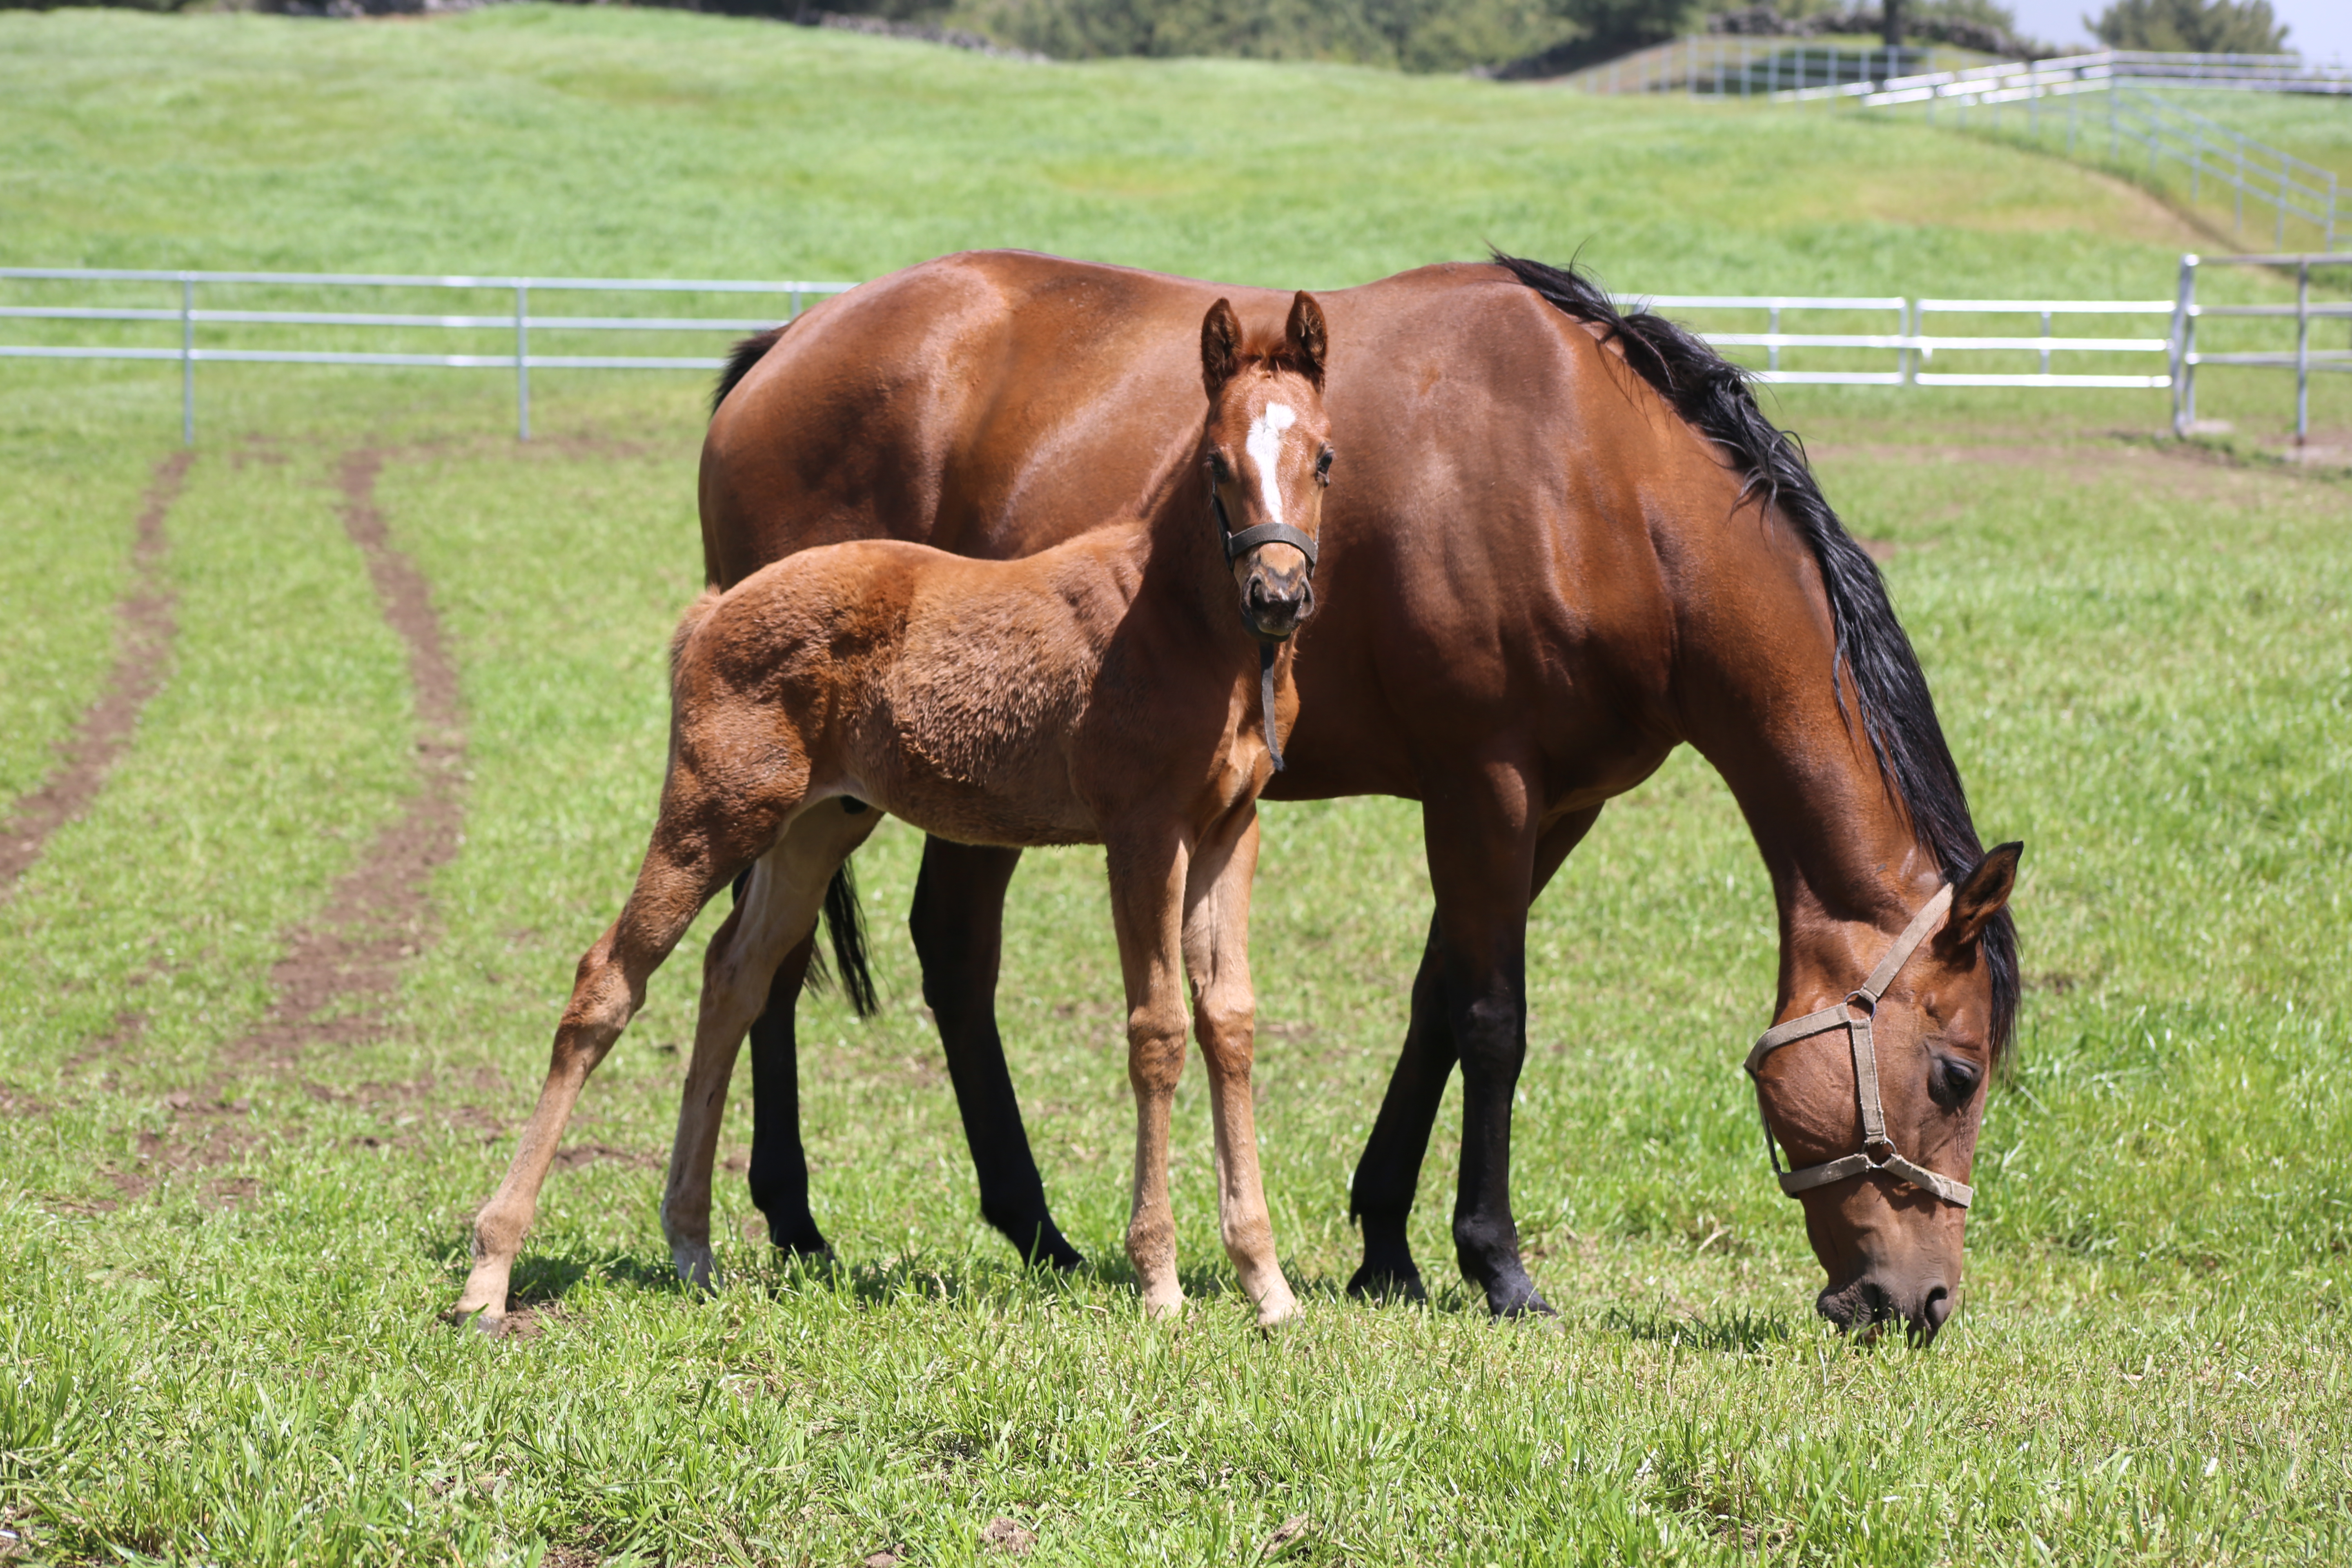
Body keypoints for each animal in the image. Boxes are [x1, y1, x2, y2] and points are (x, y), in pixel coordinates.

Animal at [454, 297, 1345, 1335]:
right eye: (1214, 462)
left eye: (1324, 457)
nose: (1277, 595)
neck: (1177, 625)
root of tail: (711, 609)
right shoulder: (1142, 834)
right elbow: (1157, 1028)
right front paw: (1158, 1280)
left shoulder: (1230, 831)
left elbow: (1230, 1021)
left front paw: (1266, 1282)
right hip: (711, 811)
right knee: (609, 982)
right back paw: (489, 1269)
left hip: (811, 826)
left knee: (735, 974)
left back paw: (691, 1243)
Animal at [682, 252, 2022, 1345]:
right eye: (1955, 1075)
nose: (1919, 1302)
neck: (1598, 484)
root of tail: (785, 341)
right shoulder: (1484, 784)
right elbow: (1492, 1020)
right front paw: (1497, 1263)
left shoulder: (1552, 808)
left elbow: (1437, 1001)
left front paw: (1386, 1245)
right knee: (788, 958)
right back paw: (802, 1219)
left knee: (899, 951)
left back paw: (1022, 1227)